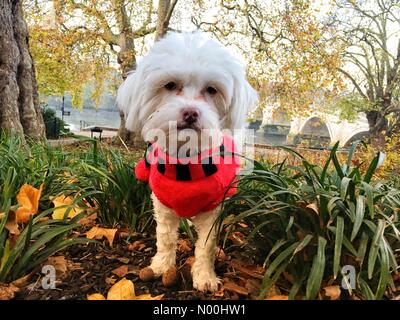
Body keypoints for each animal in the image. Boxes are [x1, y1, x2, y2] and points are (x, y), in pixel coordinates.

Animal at [117, 33, 258, 292]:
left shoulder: (213, 209)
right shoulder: (162, 205)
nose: (191, 112)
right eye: (170, 85)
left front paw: (204, 276)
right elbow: (165, 237)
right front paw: (162, 265)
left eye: (211, 89)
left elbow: (206, 245)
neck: (185, 164)